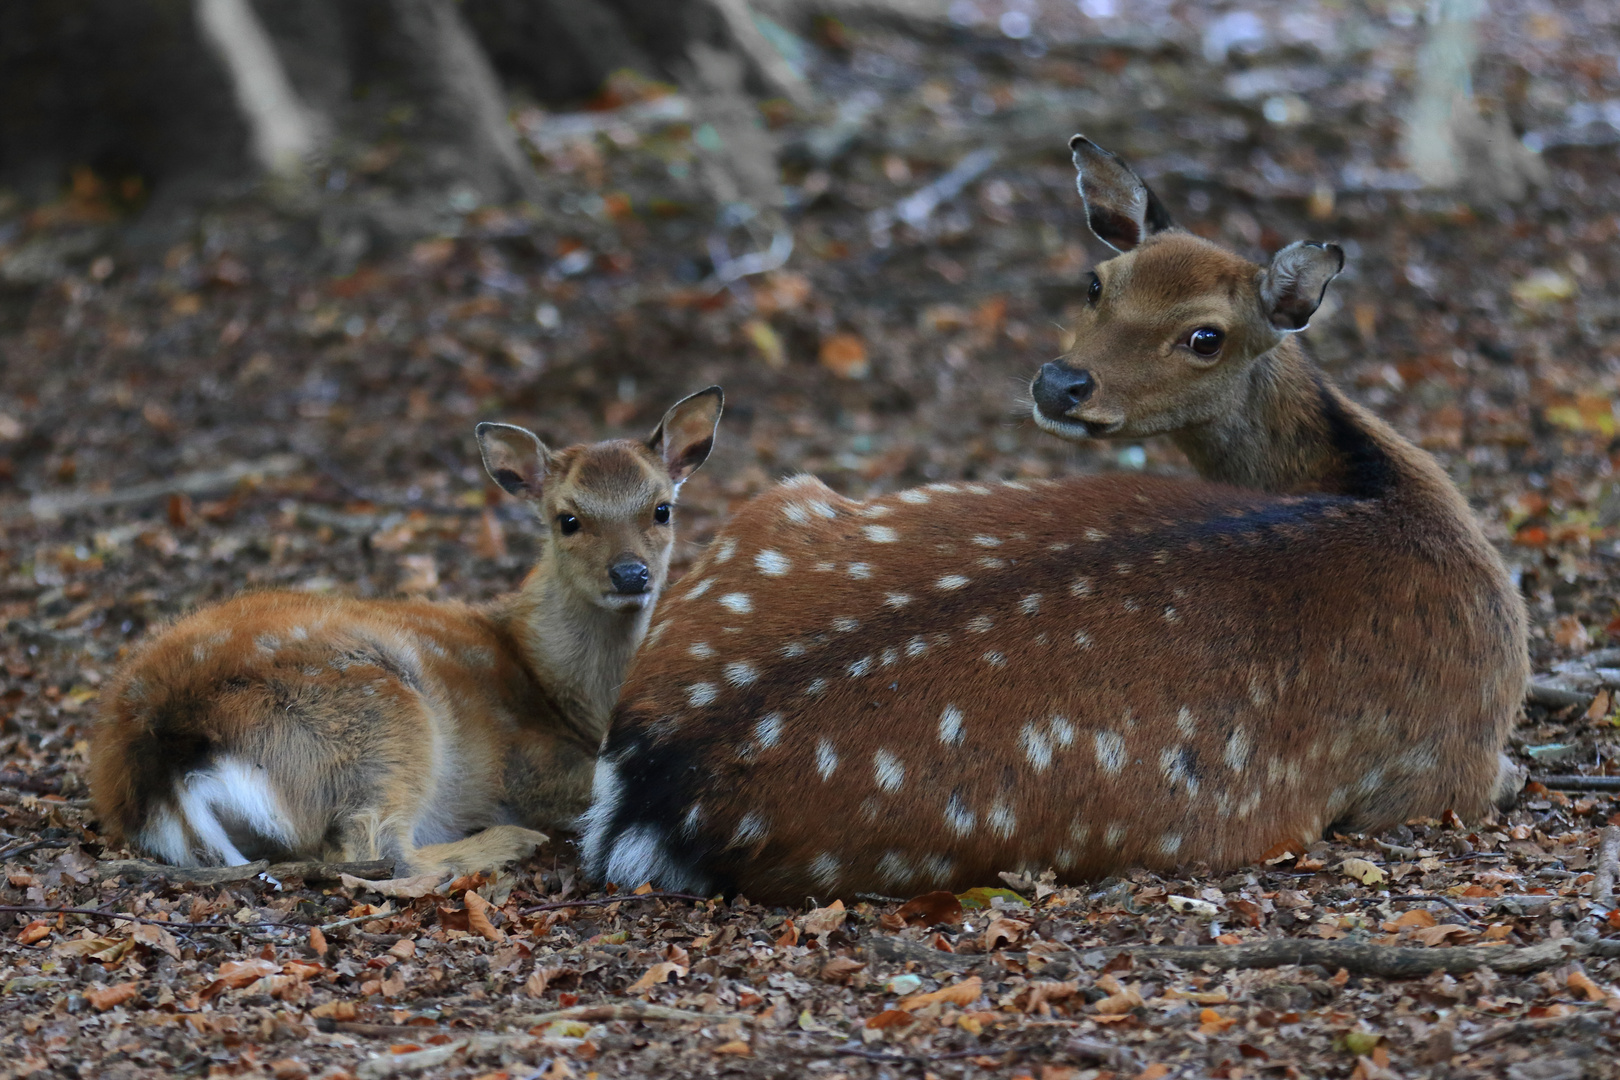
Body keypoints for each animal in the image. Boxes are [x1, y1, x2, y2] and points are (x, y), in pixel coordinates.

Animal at [90, 388, 722, 880]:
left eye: (662, 509)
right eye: (568, 519)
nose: (631, 573)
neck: (562, 692)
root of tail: (156, 753)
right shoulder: (526, 765)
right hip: (378, 717)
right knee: (379, 852)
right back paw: (509, 844)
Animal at [586, 141, 1529, 906]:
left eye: (1207, 336)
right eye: (1096, 282)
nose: (1060, 383)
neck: (1387, 487)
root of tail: (654, 784)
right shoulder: (1448, 767)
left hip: (779, 504)